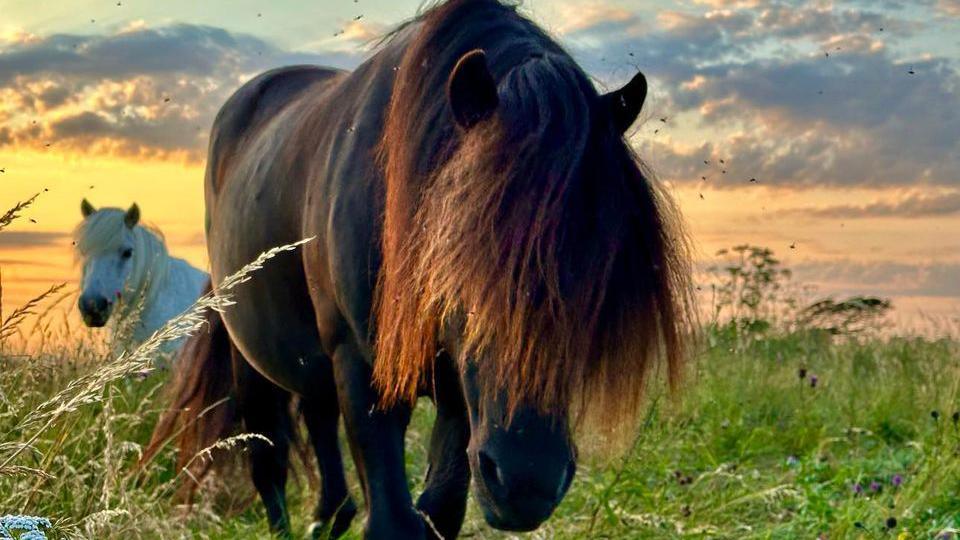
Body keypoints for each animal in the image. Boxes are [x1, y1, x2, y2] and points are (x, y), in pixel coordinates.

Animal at [148, 2, 688, 536]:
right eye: (458, 245)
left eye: (606, 264)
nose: (527, 482)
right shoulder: (362, 369)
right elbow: (393, 518)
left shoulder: (458, 393)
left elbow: (440, 511)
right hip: (252, 364)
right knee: (270, 466)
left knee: (325, 459)